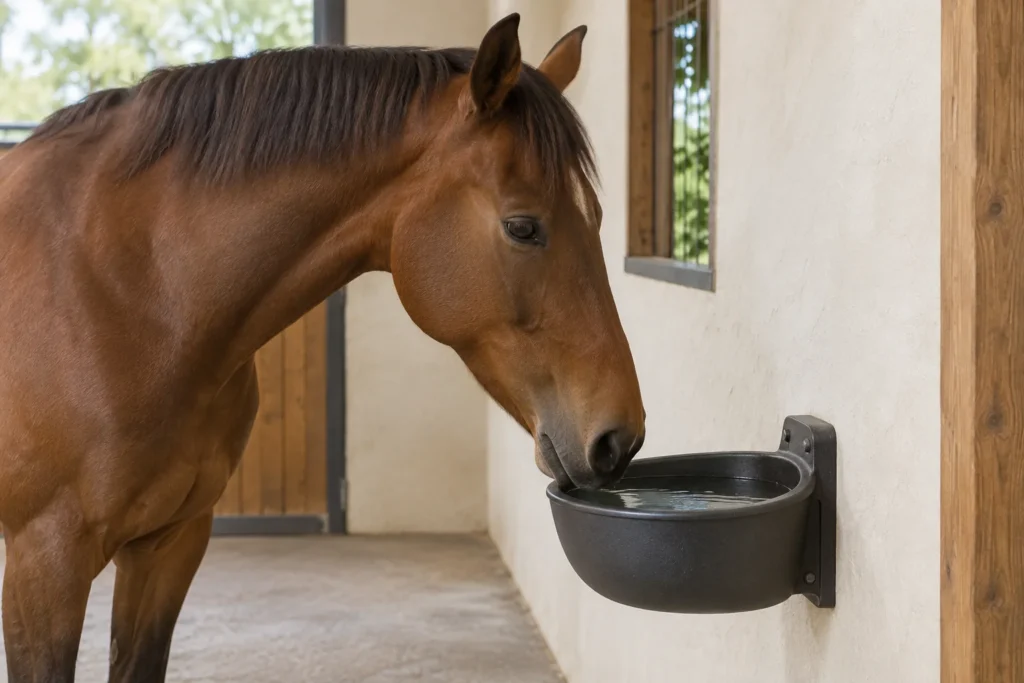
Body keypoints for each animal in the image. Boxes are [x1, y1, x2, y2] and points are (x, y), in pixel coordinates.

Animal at [0, 13, 645, 682]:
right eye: (523, 227)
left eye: (597, 218)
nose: (618, 438)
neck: (128, 290)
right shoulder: (44, 564)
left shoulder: (170, 544)